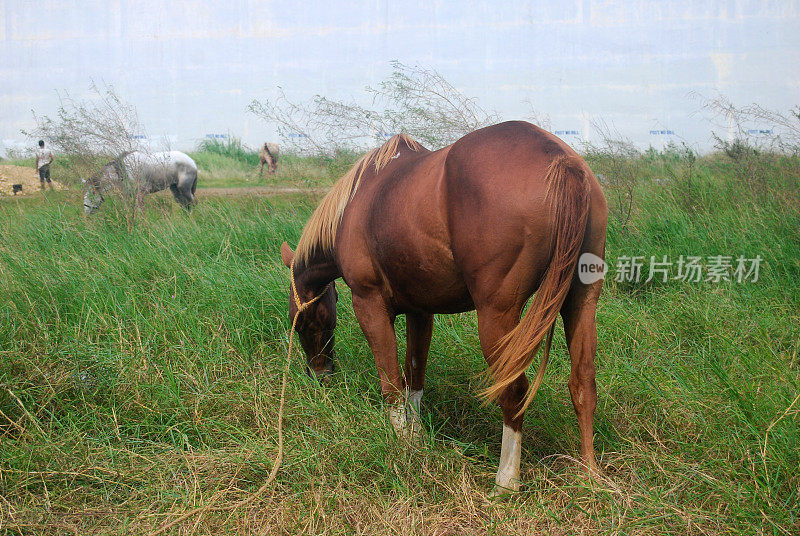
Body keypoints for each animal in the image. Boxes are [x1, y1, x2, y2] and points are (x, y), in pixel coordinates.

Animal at [282, 120, 608, 490]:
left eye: (301, 323)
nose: (319, 375)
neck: (354, 204)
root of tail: (563, 161)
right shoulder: (420, 312)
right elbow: (414, 377)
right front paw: (417, 437)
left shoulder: (370, 306)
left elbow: (391, 384)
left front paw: (402, 444)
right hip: (581, 302)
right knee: (583, 383)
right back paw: (590, 475)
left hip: (497, 316)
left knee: (514, 390)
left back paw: (505, 481)